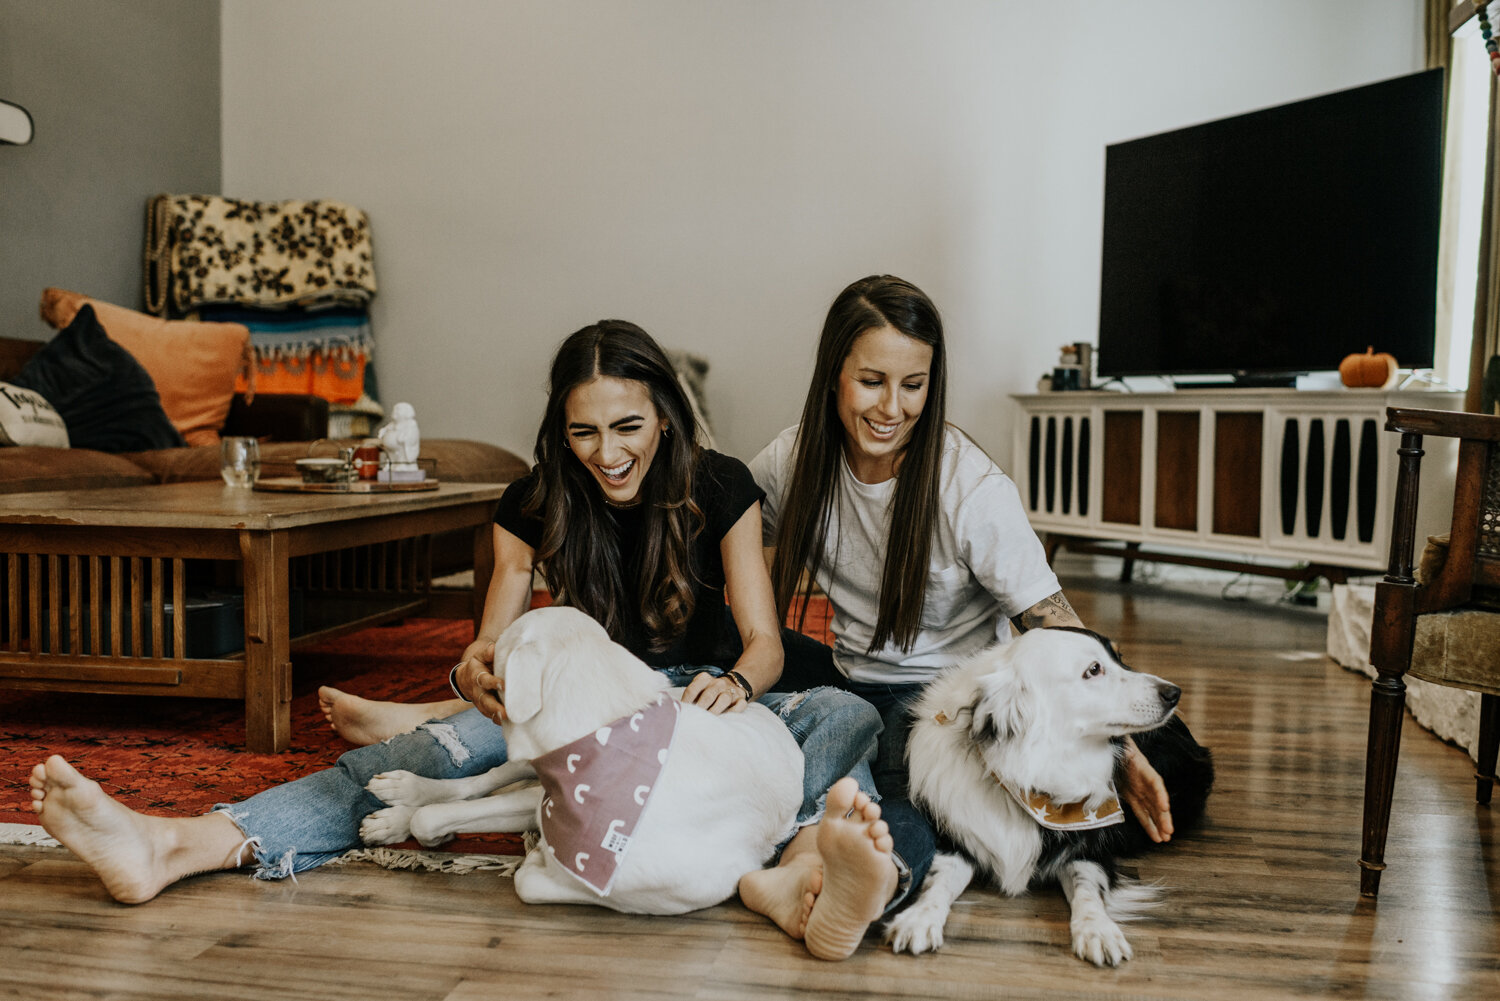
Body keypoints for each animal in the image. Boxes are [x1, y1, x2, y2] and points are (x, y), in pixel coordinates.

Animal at [357, 603, 804, 918]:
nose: (478, 652)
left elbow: (528, 878)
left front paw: (536, 855)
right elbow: (440, 813)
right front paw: (411, 818)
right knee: (479, 783)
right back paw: (404, 793)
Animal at [882, 630, 1212, 966]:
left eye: (1120, 658)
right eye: (1094, 669)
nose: (1174, 693)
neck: (1029, 773)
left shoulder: (1090, 848)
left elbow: (1088, 889)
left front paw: (1098, 930)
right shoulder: (957, 839)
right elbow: (939, 880)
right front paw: (919, 918)